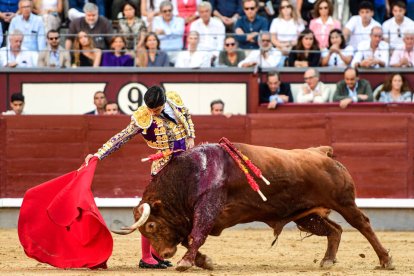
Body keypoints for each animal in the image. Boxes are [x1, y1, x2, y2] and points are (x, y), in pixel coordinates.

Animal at [112, 142, 392, 272]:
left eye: (151, 225)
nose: (164, 254)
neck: (190, 175)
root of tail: (322, 152)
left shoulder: (208, 208)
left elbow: (195, 236)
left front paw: (186, 262)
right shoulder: (189, 218)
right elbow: (188, 237)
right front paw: (203, 261)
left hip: (344, 202)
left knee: (362, 224)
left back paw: (385, 260)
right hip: (307, 215)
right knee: (335, 230)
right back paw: (327, 260)